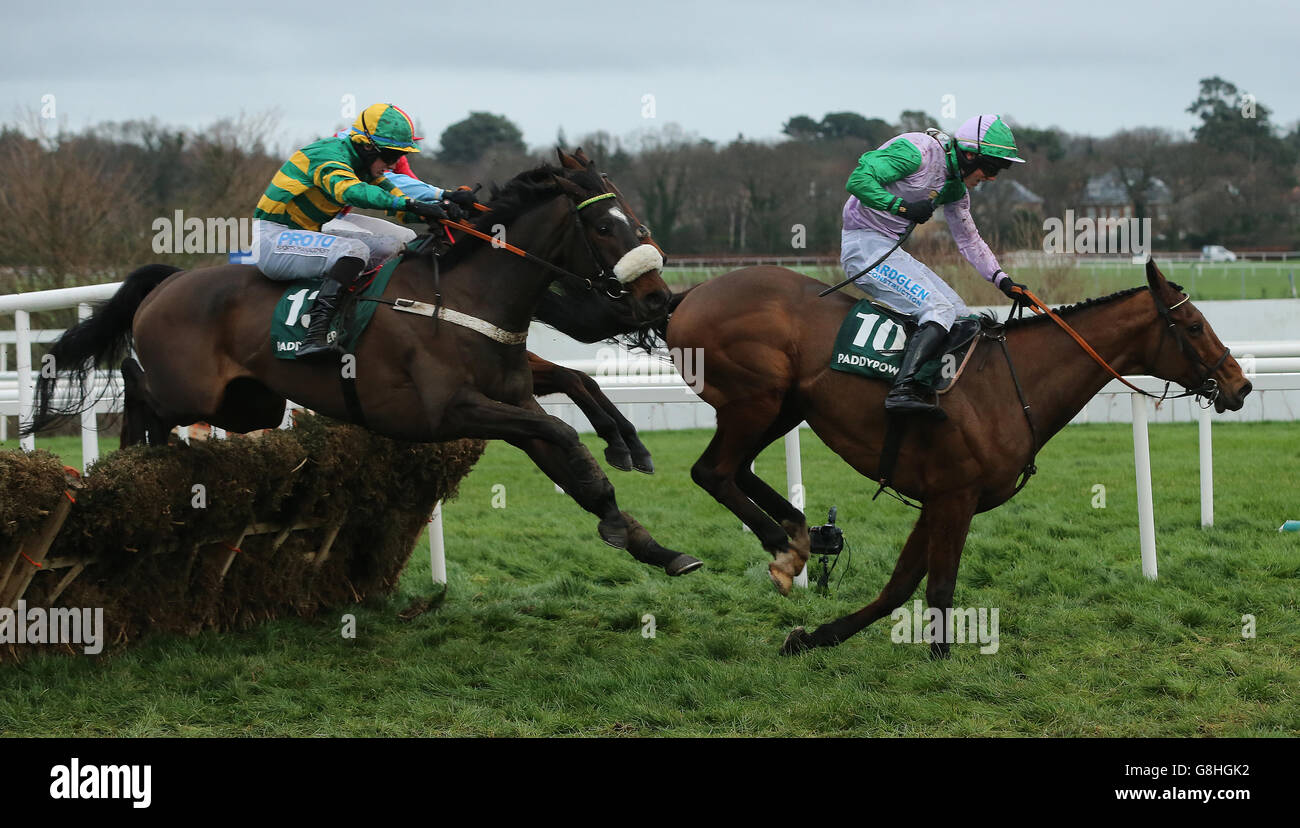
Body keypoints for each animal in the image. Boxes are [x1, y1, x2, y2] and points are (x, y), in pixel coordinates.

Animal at [27, 150, 702, 574]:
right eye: (605, 225)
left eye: (633, 215)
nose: (656, 299)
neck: (465, 294)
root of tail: (170, 280)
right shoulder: (451, 409)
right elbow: (563, 433)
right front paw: (619, 468)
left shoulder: (510, 401)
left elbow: (576, 435)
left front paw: (649, 536)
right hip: (193, 390)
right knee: (137, 388)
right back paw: (127, 462)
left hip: (250, 404)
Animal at [665, 254, 1253, 655]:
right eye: (1195, 326)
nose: (1240, 384)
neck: (1010, 383)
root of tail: (689, 295)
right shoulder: (955, 494)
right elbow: (940, 584)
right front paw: (939, 659)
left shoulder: (936, 497)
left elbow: (900, 585)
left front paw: (815, 637)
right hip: (755, 399)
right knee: (712, 471)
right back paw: (783, 546)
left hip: (784, 406)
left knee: (737, 469)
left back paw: (803, 533)